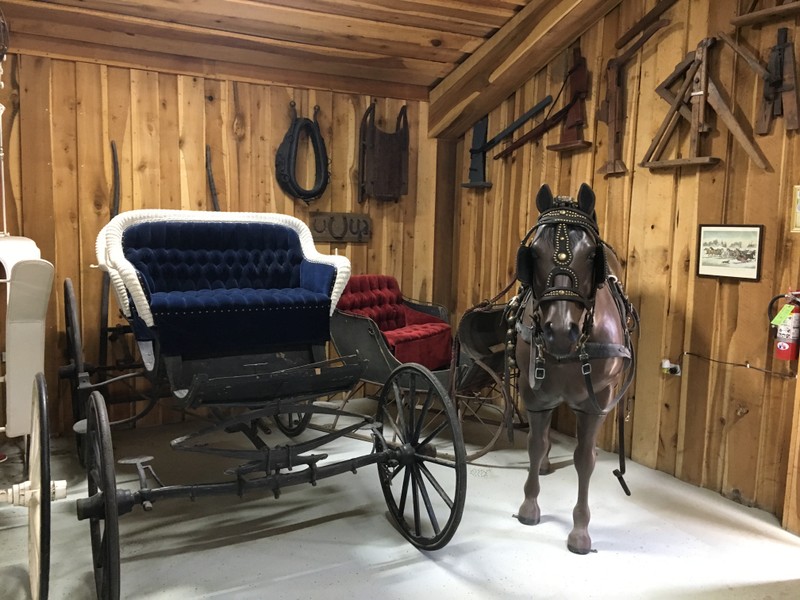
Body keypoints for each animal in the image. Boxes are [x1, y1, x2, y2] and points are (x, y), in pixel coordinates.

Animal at [512, 183, 636, 552]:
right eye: (534, 253)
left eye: (591, 255)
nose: (559, 330)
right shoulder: (533, 392)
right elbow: (534, 444)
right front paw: (529, 505)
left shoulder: (597, 401)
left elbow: (584, 460)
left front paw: (580, 529)